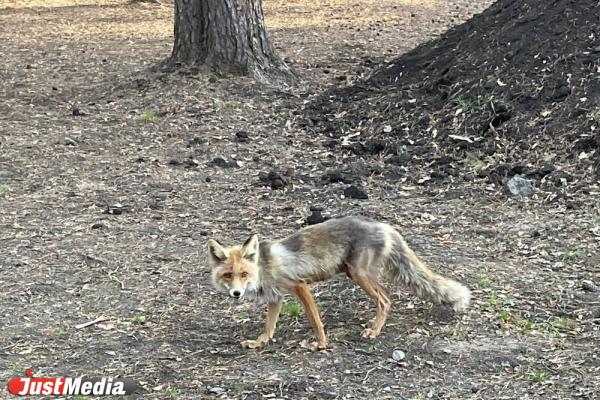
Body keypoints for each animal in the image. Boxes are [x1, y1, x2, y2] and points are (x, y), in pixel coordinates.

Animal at [209, 216, 472, 350]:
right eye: (228, 275)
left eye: (243, 274)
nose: (236, 293)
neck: (264, 266)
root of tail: (385, 226)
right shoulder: (276, 297)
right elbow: (269, 326)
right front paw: (259, 342)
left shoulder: (299, 285)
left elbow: (315, 320)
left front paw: (321, 344)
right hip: (358, 274)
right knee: (386, 295)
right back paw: (375, 325)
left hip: (358, 275)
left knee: (385, 299)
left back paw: (374, 331)